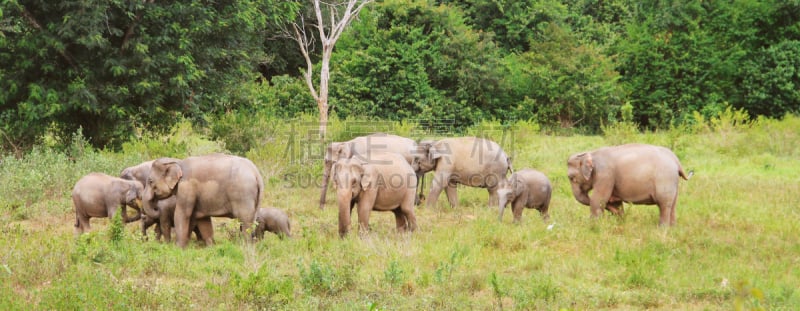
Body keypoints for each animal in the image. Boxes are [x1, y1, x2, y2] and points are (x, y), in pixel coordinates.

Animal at [564, 144, 692, 227]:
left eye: (571, 178)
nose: (616, 213)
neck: (592, 153)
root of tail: (676, 160)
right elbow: (616, 202)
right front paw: (619, 221)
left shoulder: (605, 175)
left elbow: (598, 199)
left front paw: (594, 226)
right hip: (673, 182)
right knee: (672, 205)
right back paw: (672, 228)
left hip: (665, 179)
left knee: (664, 205)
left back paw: (662, 229)